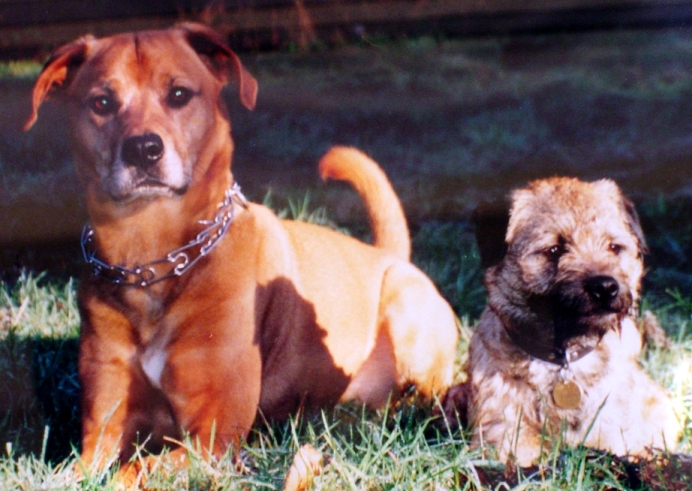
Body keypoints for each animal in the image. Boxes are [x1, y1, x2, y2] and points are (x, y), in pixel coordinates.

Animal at [25, 22, 460, 476]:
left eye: (178, 94)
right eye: (102, 102)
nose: (143, 149)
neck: (151, 260)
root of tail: (389, 255)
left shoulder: (211, 436)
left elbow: (135, 468)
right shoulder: (101, 430)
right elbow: (71, 472)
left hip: (408, 322)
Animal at [462, 179, 680, 468]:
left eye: (614, 247)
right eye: (555, 249)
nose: (605, 287)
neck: (561, 359)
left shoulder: (609, 429)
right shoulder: (504, 433)